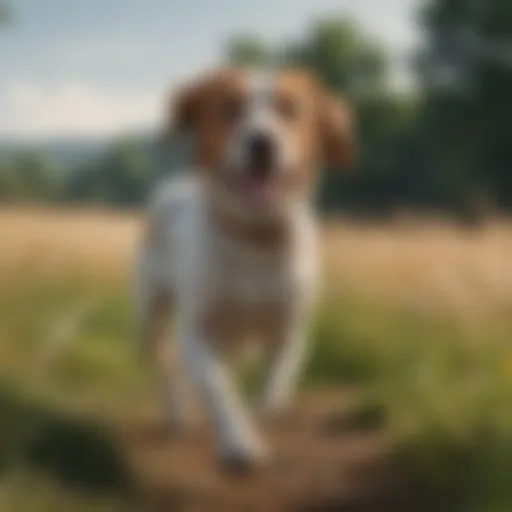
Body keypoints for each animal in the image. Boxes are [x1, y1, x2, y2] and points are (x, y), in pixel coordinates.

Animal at [134, 68, 354, 472]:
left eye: (289, 108)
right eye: (229, 108)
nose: (261, 143)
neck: (255, 238)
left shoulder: (289, 332)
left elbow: (272, 393)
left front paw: (256, 422)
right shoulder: (198, 331)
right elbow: (219, 390)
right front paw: (238, 444)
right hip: (151, 315)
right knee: (165, 367)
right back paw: (178, 413)